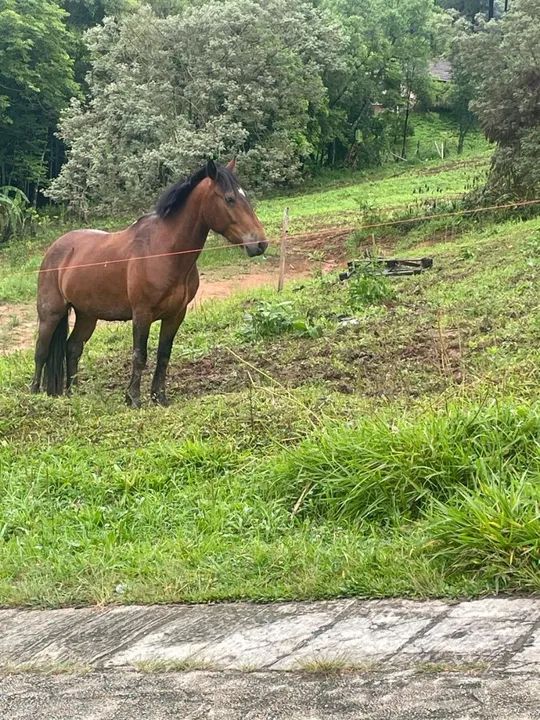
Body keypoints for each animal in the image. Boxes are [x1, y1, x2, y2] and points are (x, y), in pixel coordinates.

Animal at [31, 159, 268, 407]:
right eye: (230, 199)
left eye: (244, 196)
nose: (260, 243)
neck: (164, 251)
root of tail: (54, 248)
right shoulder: (142, 314)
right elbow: (140, 355)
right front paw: (133, 398)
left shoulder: (176, 315)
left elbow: (164, 355)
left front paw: (159, 397)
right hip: (51, 314)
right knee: (41, 351)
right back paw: (34, 394)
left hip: (88, 315)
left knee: (73, 348)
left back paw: (72, 394)